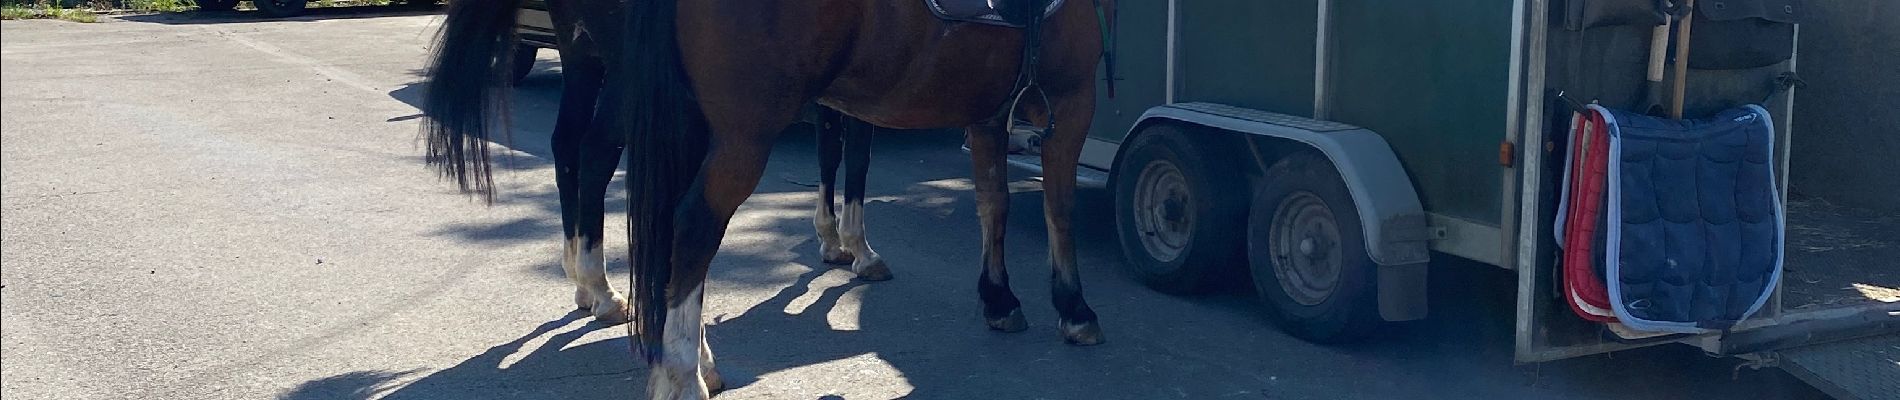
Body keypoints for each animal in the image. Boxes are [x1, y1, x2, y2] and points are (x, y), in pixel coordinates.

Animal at [418, 0, 889, 324]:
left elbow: (830, 153)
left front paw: (832, 240)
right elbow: (856, 159)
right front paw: (860, 249)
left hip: (581, 52)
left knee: (566, 146)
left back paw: (581, 281)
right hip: (628, 71)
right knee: (596, 152)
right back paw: (603, 291)